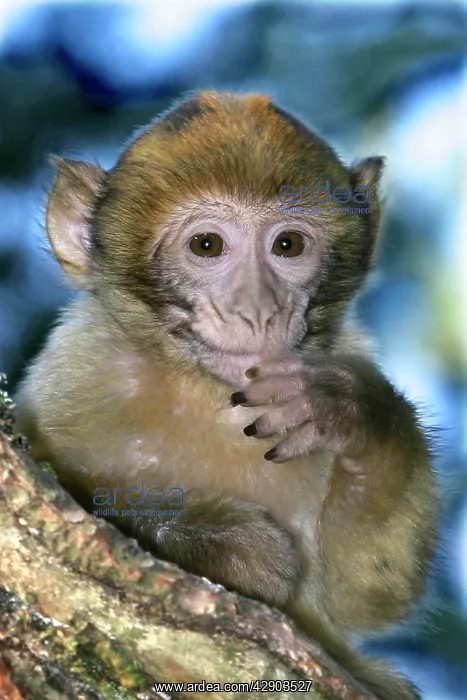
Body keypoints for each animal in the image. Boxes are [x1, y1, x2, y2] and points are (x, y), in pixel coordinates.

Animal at [14, 91, 438, 700]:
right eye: (207, 245)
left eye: (288, 244)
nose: (259, 310)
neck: (209, 393)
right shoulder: (78, 367)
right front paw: (229, 546)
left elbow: (367, 593)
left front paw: (357, 414)